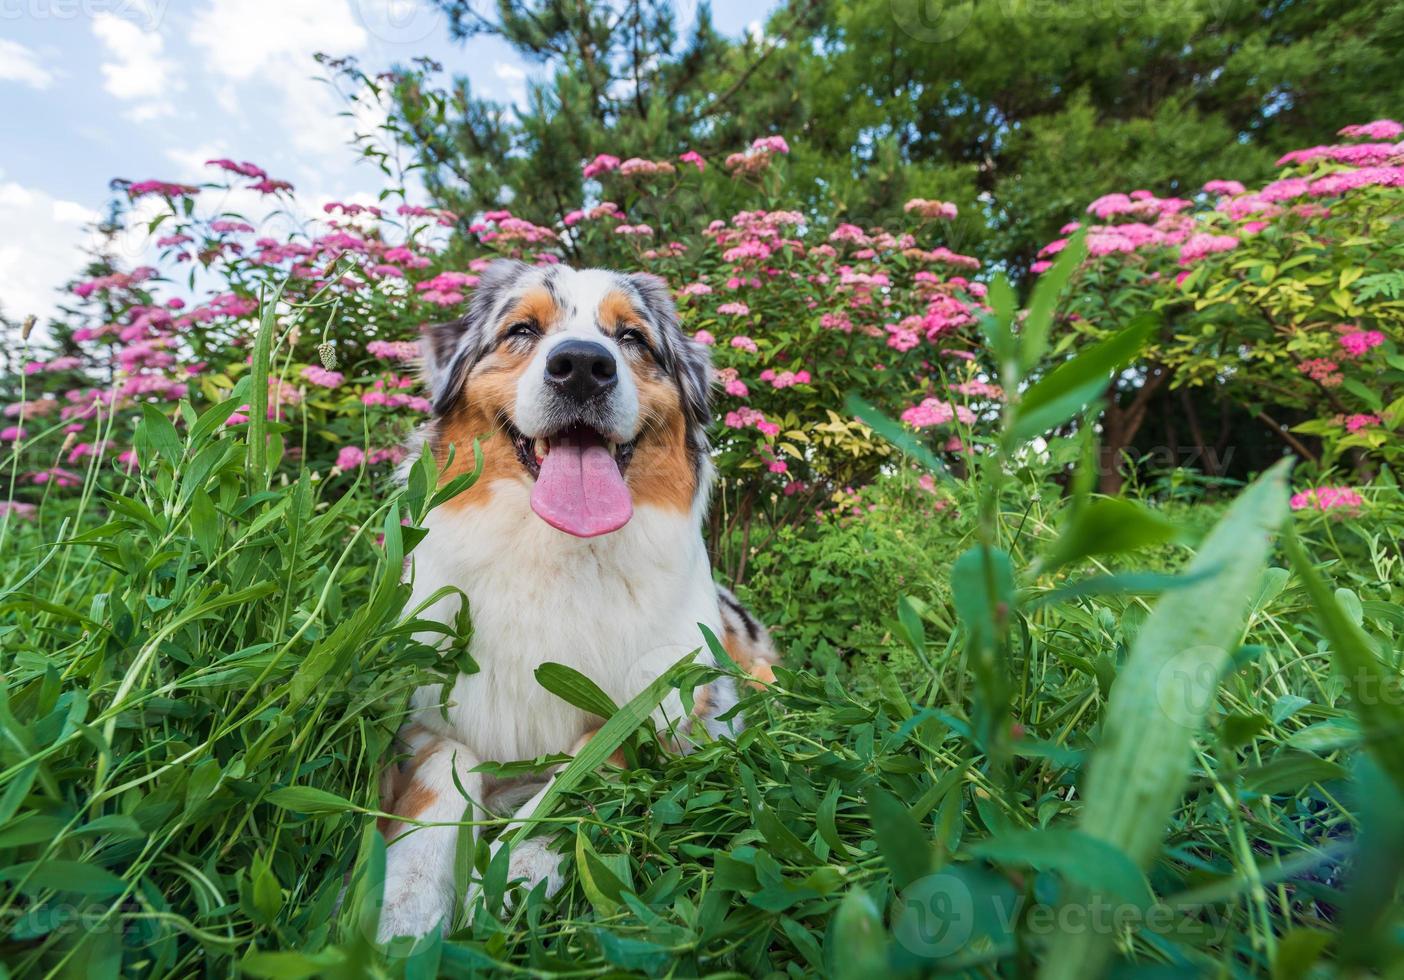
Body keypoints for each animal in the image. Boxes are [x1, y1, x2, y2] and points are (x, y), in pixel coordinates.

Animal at [373, 259, 780, 937]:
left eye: (633, 338)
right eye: (522, 329)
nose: (584, 365)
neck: (555, 554)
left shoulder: (678, 705)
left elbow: (588, 762)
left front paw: (517, 865)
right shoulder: (425, 714)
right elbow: (438, 778)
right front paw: (402, 901)